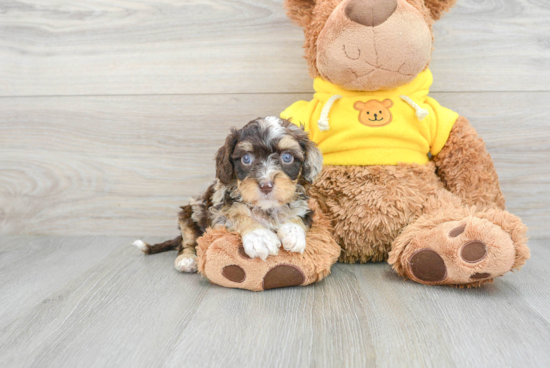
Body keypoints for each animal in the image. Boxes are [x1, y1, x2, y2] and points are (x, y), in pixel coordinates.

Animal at [134, 116, 324, 272]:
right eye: (246, 159)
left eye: (287, 157)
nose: (266, 185)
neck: (266, 208)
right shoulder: (218, 212)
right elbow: (236, 213)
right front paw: (259, 237)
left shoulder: (306, 206)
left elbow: (298, 215)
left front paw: (293, 232)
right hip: (190, 212)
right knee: (187, 241)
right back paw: (187, 259)